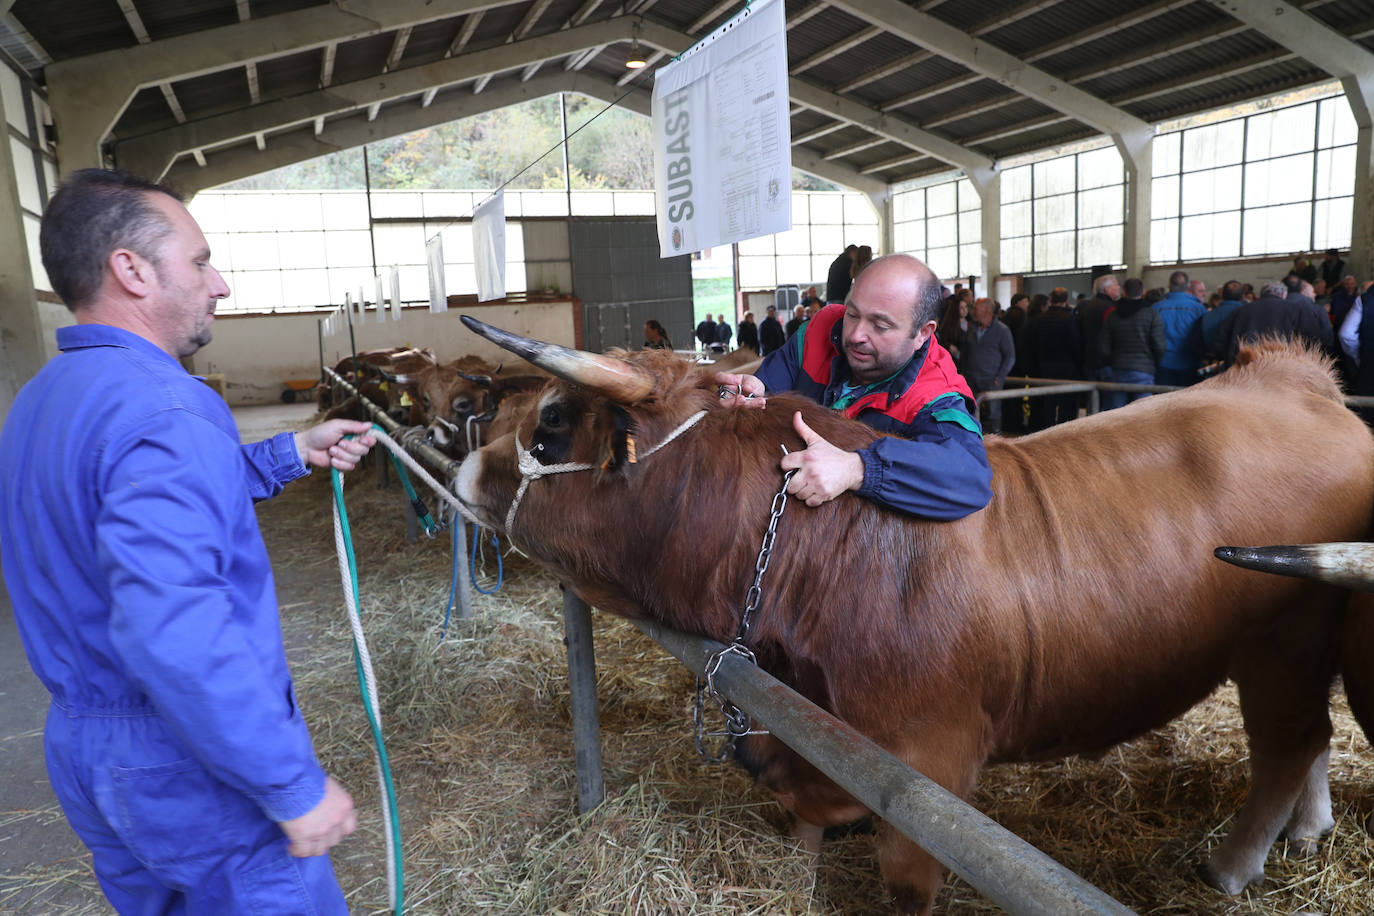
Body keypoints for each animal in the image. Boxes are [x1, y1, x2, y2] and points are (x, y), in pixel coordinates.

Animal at [456, 321, 1374, 916]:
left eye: (551, 422)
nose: (463, 470)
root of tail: (1290, 376)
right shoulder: (799, 725)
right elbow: (798, 819)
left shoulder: (926, 763)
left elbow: (903, 881)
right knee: (1315, 740)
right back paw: (1308, 830)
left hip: (1281, 647)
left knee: (1288, 743)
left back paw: (1232, 866)